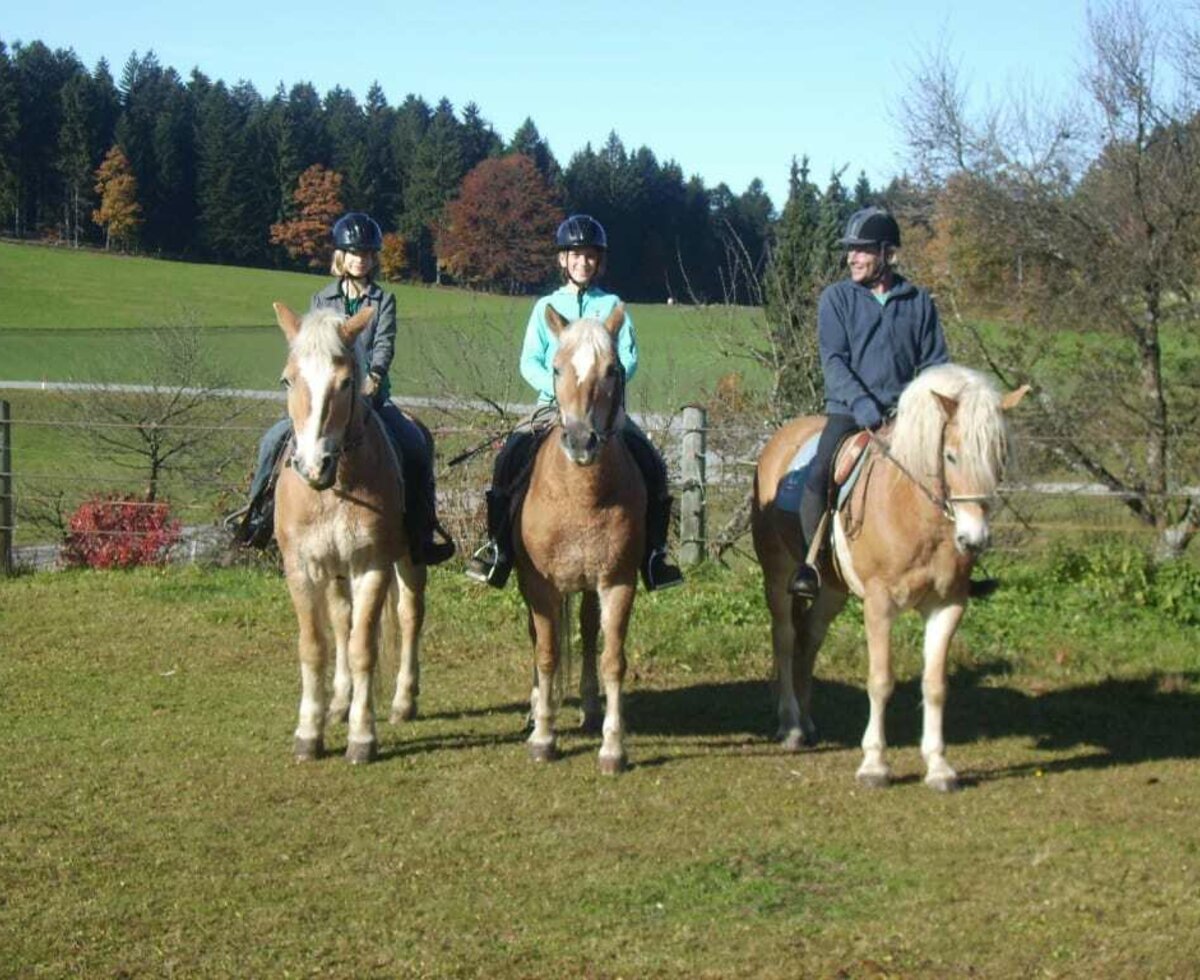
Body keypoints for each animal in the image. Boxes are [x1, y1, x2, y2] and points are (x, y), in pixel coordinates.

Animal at [272, 302, 427, 762]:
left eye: (344, 383)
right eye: (288, 379)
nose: (312, 466)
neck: (335, 489)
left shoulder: (371, 566)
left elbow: (364, 648)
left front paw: (362, 736)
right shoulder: (302, 569)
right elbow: (315, 646)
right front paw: (310, 731)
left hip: (408, 562)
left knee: (409, 615)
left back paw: (403, 701)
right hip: (335, 572)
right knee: (342, 620)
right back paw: (339, 702)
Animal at [516, 302, 648, 767]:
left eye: (613, 369)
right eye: (555, 368)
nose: (580, 442)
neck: (582, 496)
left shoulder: (618, 581)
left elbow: (612, 660)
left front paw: (613, 746)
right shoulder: (538, 584)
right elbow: (547, 653)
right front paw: (543, 737)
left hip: (590, 584)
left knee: (590, 632)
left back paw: (590, 709)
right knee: (540, 638)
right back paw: (537, 707)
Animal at [753, 362, 1027, 791]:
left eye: (999, 457)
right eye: (950, 455)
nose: (974, 539)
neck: (914, 513)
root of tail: (780, 439)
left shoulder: (949, 605)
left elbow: (935, 685)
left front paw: (939, 767)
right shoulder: (879, 603)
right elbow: (880, 680)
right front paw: (874, 765)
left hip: (832, 590)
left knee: (809, 638)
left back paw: (808, 722)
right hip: (778, 574)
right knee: (784, 637)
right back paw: (792, 726)